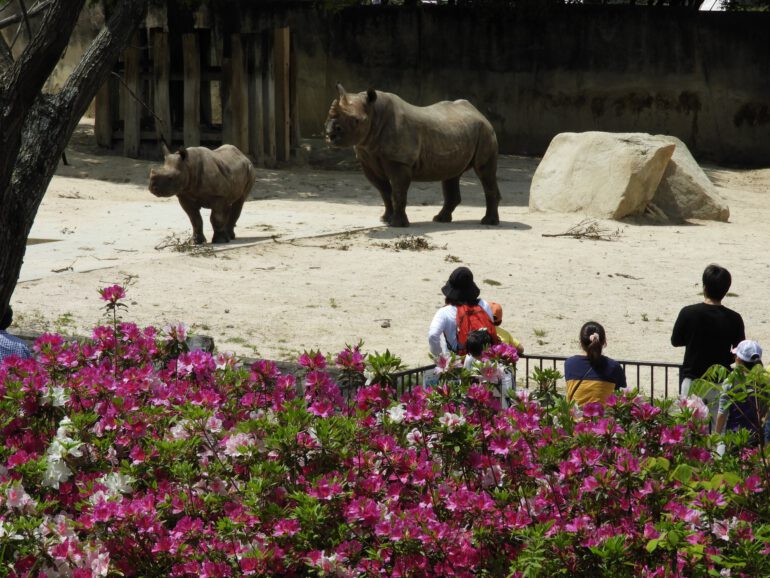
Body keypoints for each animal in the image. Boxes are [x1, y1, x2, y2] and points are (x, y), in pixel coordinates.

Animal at [324, 84, 501, 227]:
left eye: (356, 120)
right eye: (328, 116)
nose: (331, 133)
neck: (375, 114)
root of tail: (479, 112)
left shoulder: (400, 161)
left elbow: (398, 192)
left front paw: (397, 224)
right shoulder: (367, 159)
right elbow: (384, 191)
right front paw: (385, 219)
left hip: (486, 132)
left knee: (484, 170)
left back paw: (488, 222)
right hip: (461, 131)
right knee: (452, 174)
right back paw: (440, 219)